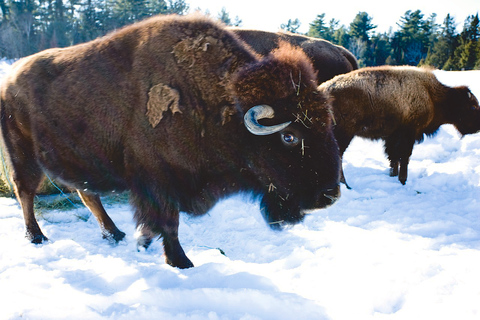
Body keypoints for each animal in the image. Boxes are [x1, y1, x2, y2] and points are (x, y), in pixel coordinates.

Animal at [0, 15, 342, 270]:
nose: (331, 194)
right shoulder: (159, 180)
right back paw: (36, 237)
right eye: (289, 136)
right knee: (25, 191)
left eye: (328, 125)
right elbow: (169, 222)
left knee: (87, 194)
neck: (224, 105)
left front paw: (144, 242)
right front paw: (180, 262)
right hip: (23, 155)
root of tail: (10, 77)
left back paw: (113, 233)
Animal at [318, 65, 480, 185]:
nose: (478, 127)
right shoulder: (408, 134)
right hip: (344, 134)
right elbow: (404, 156)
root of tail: (323, 90)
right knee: (338, 156)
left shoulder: (392, 136)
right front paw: (403, 180)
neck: (431, 94)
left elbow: (393, 157)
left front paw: (393, 175)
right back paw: (345, 184)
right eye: (472, 107)